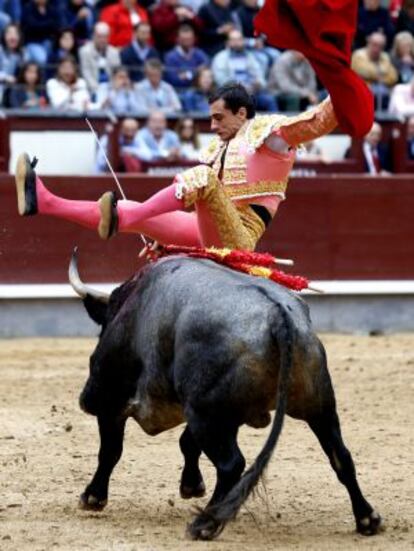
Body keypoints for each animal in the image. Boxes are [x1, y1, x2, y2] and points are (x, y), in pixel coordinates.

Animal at [69, 251, 384, 544]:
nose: (84, 399)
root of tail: (278, 315)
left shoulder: (113, 404)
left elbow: (111, 451)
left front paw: (92, 497)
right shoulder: (218, 414)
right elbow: (186, 443)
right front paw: (191, 486)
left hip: (207, 415)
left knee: (231, 464)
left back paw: (205, 523)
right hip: (318, 405)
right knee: (341, 456)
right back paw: (367, 519)